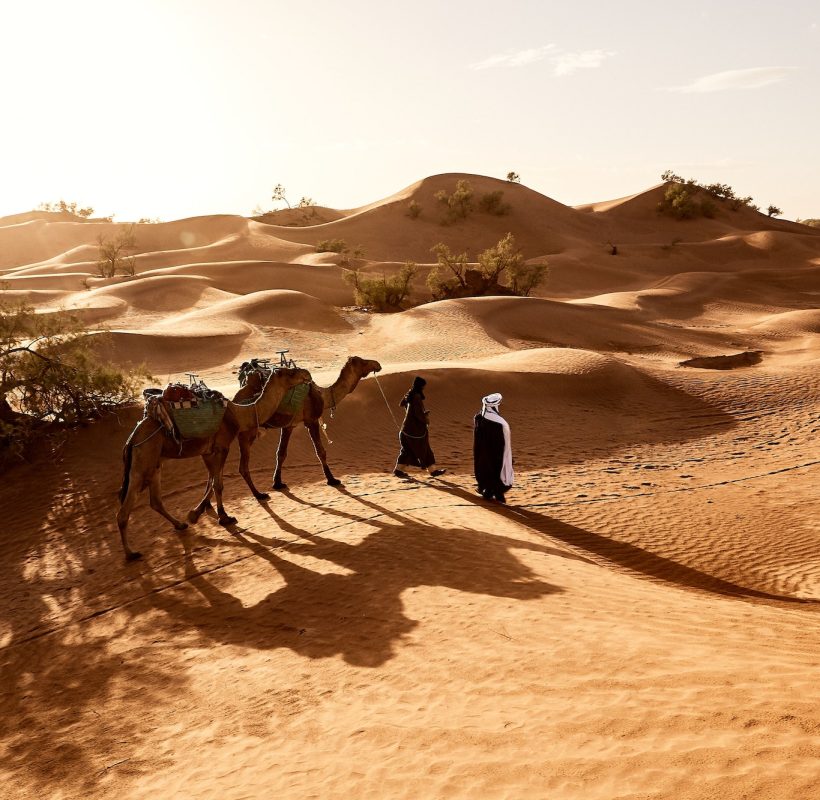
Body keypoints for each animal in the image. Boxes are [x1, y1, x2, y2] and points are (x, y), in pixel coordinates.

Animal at [119, 366, 314, 560]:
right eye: (290, 372)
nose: (307, 374)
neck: (238, 414)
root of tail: (131, 439)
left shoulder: (208, 451)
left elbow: (213, 481)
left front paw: (198, 513)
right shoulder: (221, 447)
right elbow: (218, 484)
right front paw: (224, 517)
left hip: (154, 463)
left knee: (155, 501)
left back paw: (180, 524)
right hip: (143, 460)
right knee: (124, 510)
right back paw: (131, 553)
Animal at [232, 354, 382, 496]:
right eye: (362, 361)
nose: (377, 364)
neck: (323, 395)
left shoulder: (289, 426)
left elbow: (281, 453)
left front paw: (277, 483)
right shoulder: (312, 420)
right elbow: (320, 451)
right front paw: (332, 479)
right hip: (247, 431)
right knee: (242, 465)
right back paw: (258, 494)